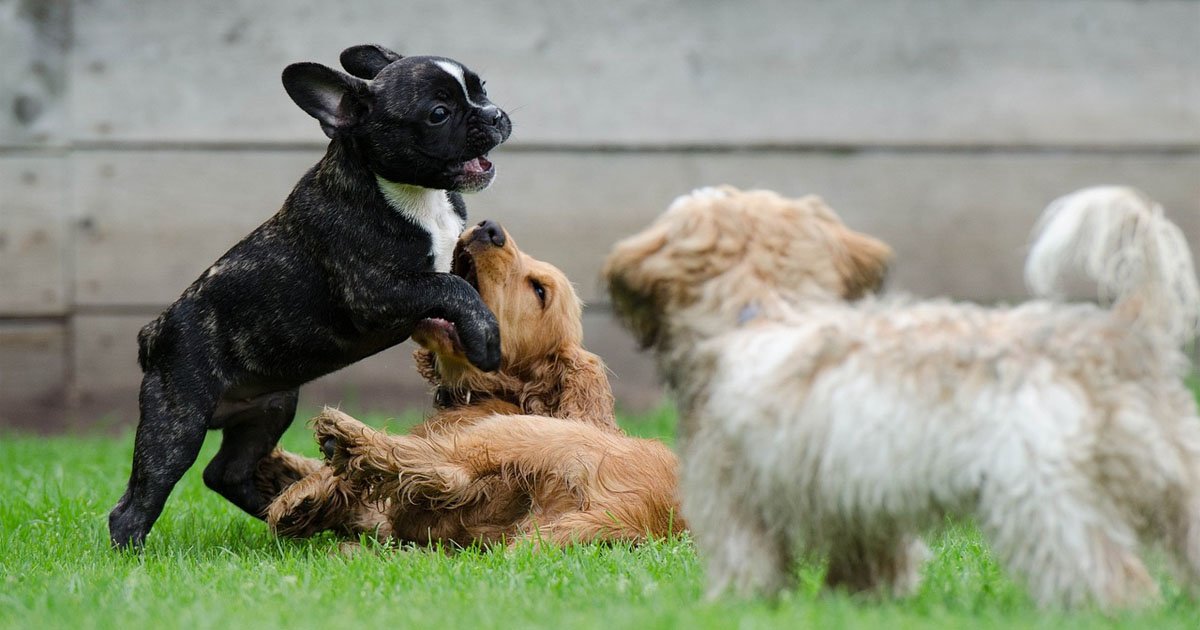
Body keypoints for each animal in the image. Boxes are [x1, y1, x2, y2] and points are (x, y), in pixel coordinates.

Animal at [253, 220, 686, 544]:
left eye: (539, 290)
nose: (489, 228)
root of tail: (634, 512)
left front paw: (301, 491)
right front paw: (281, 469)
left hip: (519, 434)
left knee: (443, 469)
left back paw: (343, 436)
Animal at [604, 184, 1200, 607]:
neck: (765, 309)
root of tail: (1120, 333)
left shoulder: (733, 497)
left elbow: (746, 563)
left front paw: (735, 607)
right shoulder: (860, 503)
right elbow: (871, 563)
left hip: (1045, 500)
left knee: (1109, 575)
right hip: (1178, 483)